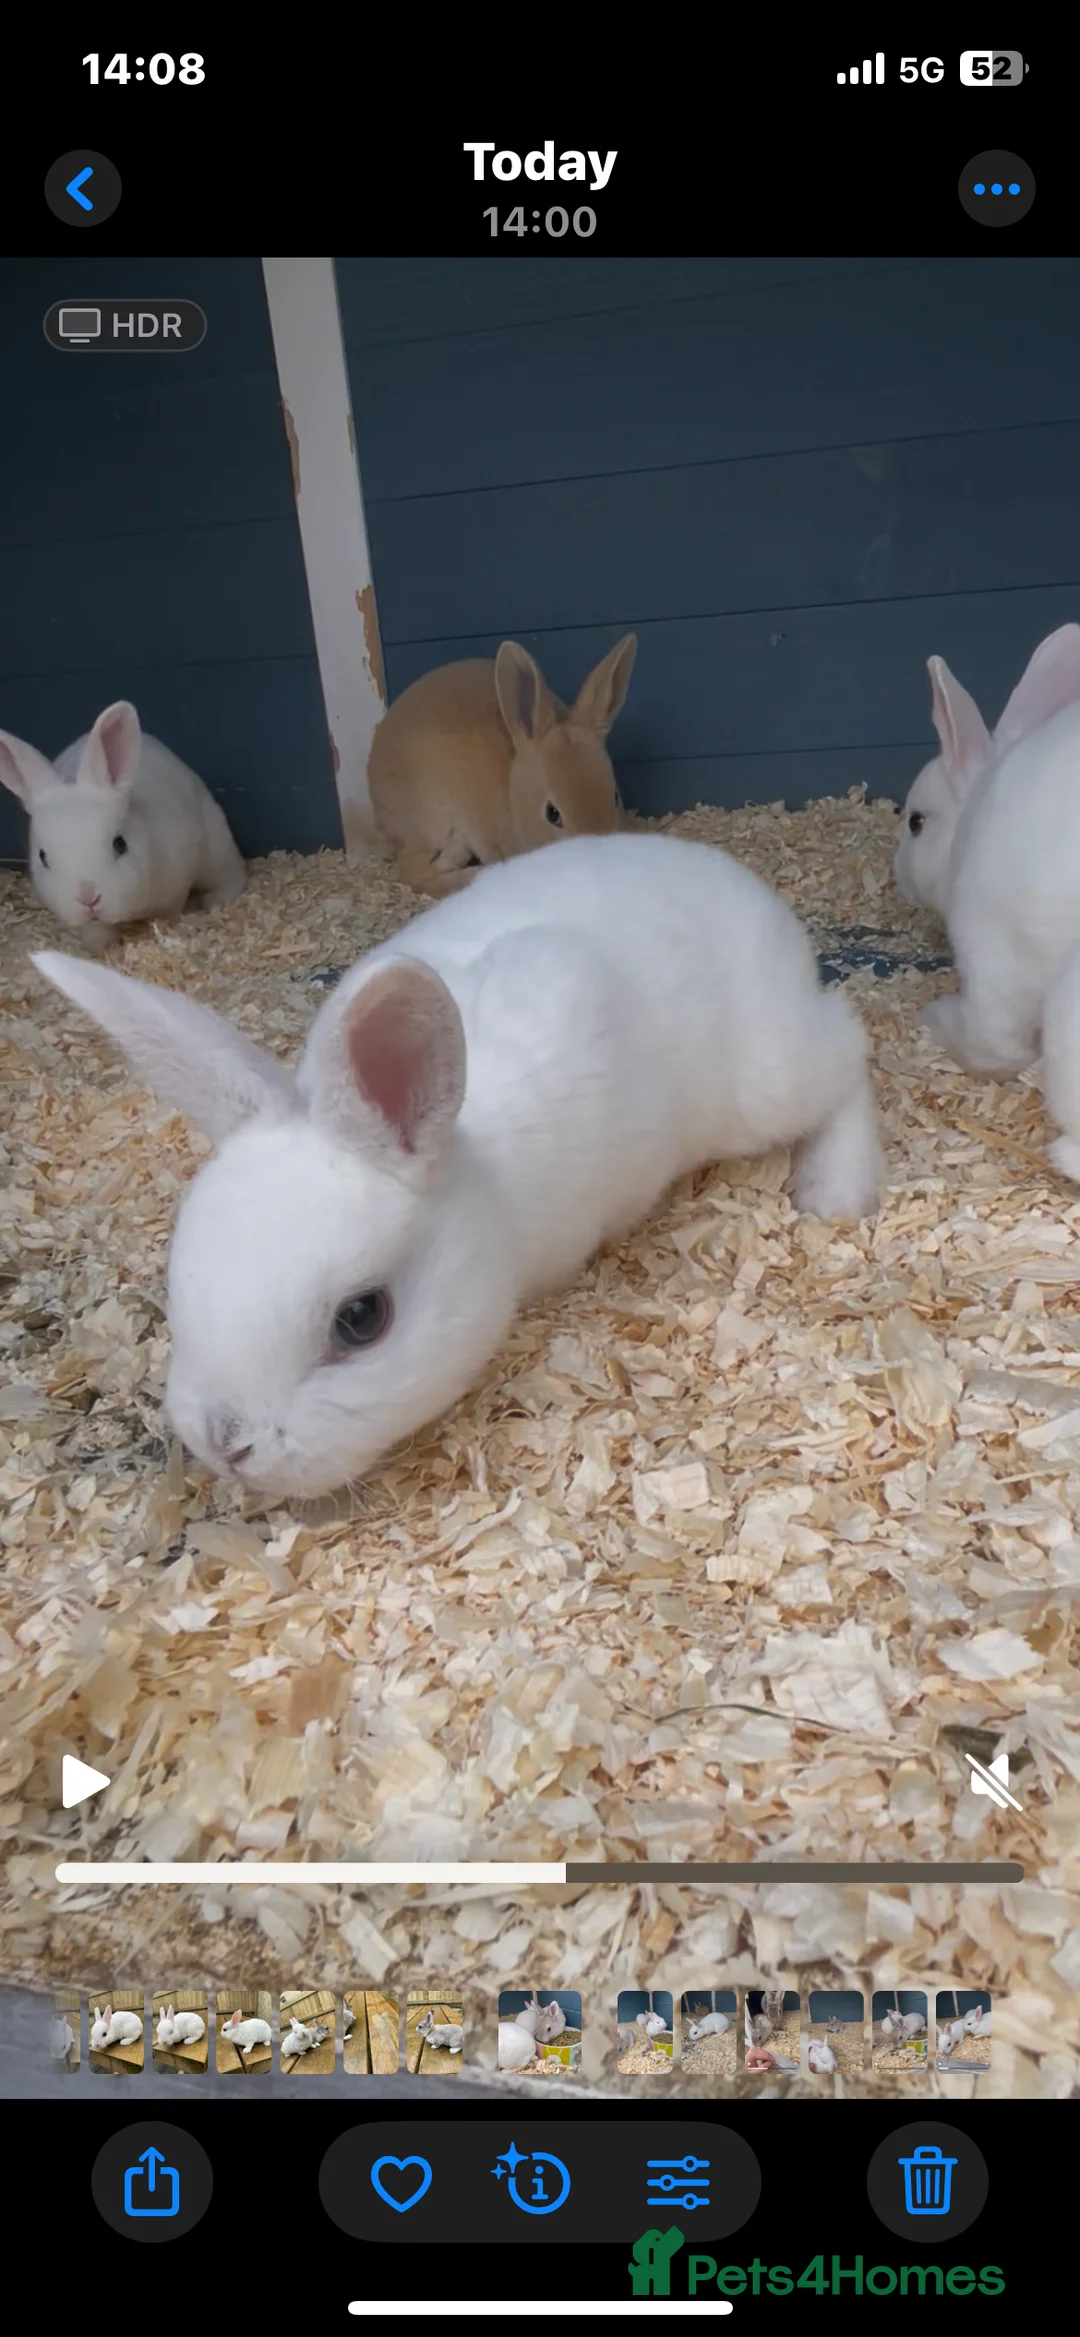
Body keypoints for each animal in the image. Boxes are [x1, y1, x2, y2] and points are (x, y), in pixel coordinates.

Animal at [0, 700, 245, 950]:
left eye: (120, 844)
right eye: (43, 857)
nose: (89, 899)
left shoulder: (177, 883)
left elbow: (169, 912)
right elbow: (97, 932)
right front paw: (101, 947)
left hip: (217, 847)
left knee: (232, 876)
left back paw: (216, 900)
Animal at [32, 830, 883, 1502]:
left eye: (362, 1318)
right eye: (178, 1282)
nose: (226, 1443)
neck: (486, 1186)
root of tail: (755, 894)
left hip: (772, 1078)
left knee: (850, 1050)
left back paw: (836, 1190)